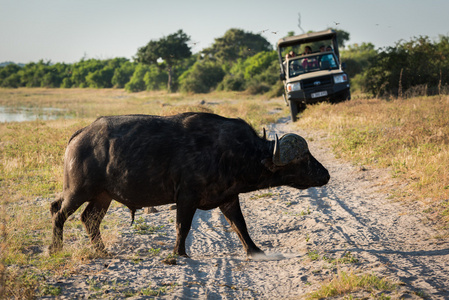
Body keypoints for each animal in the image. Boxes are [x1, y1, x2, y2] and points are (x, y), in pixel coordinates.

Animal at [49, 112, 328, 258]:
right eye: (303, 159)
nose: (325, 175)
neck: (232, 153)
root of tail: (79, 135)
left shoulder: (228, 198)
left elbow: (240, 225)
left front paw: (255, 250)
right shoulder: (186, 198)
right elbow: (182, 227)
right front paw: (179, 253)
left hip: (102, 196)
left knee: (89, 219)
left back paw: (102, 251)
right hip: (77, 191)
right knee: (58, 213)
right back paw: (55, 248)